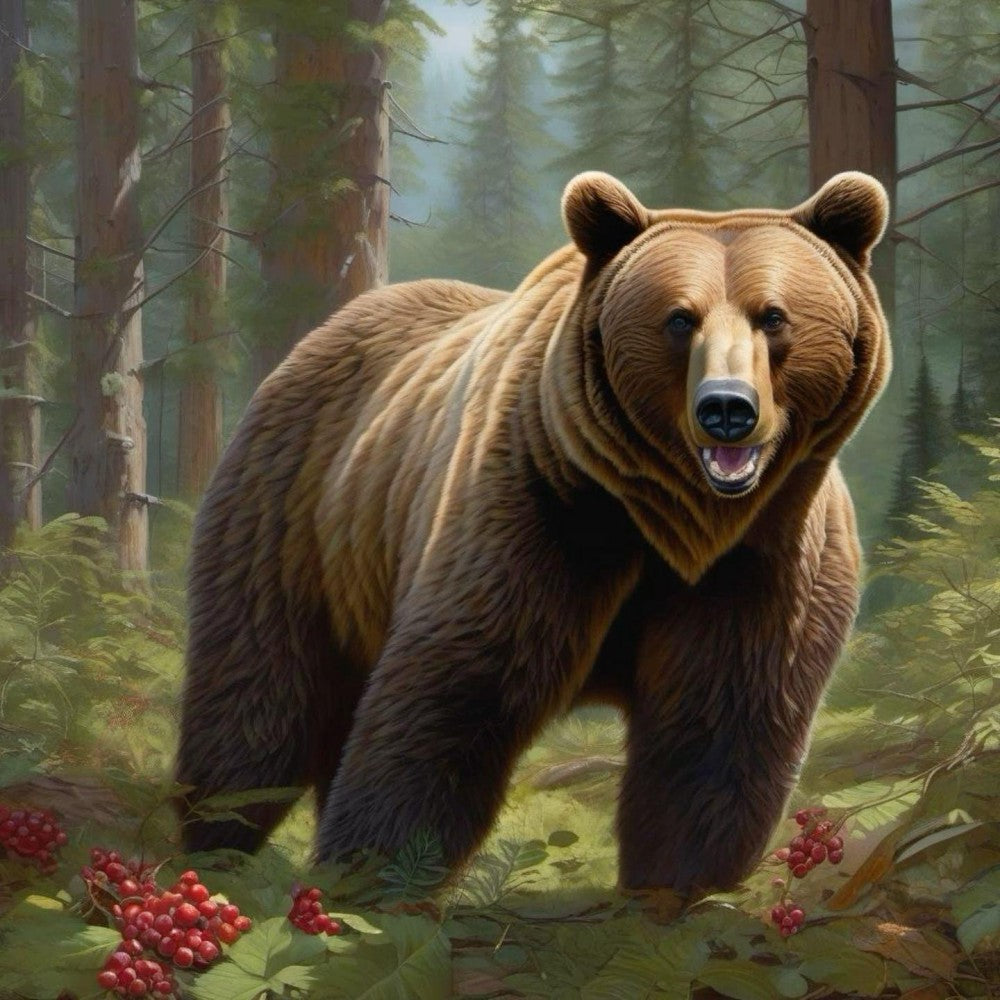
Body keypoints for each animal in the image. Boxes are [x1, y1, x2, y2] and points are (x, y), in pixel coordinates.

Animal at [175, 170, 890, 897]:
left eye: (773, 316)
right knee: (258, 704)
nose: (726, 409)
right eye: (678, 318)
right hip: (298, 516)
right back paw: (215, 844)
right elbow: (452, 695)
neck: (677, 521)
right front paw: (375, 870)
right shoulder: (539, 506)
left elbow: (717, 729)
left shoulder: (764, 558)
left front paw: (674, 883)